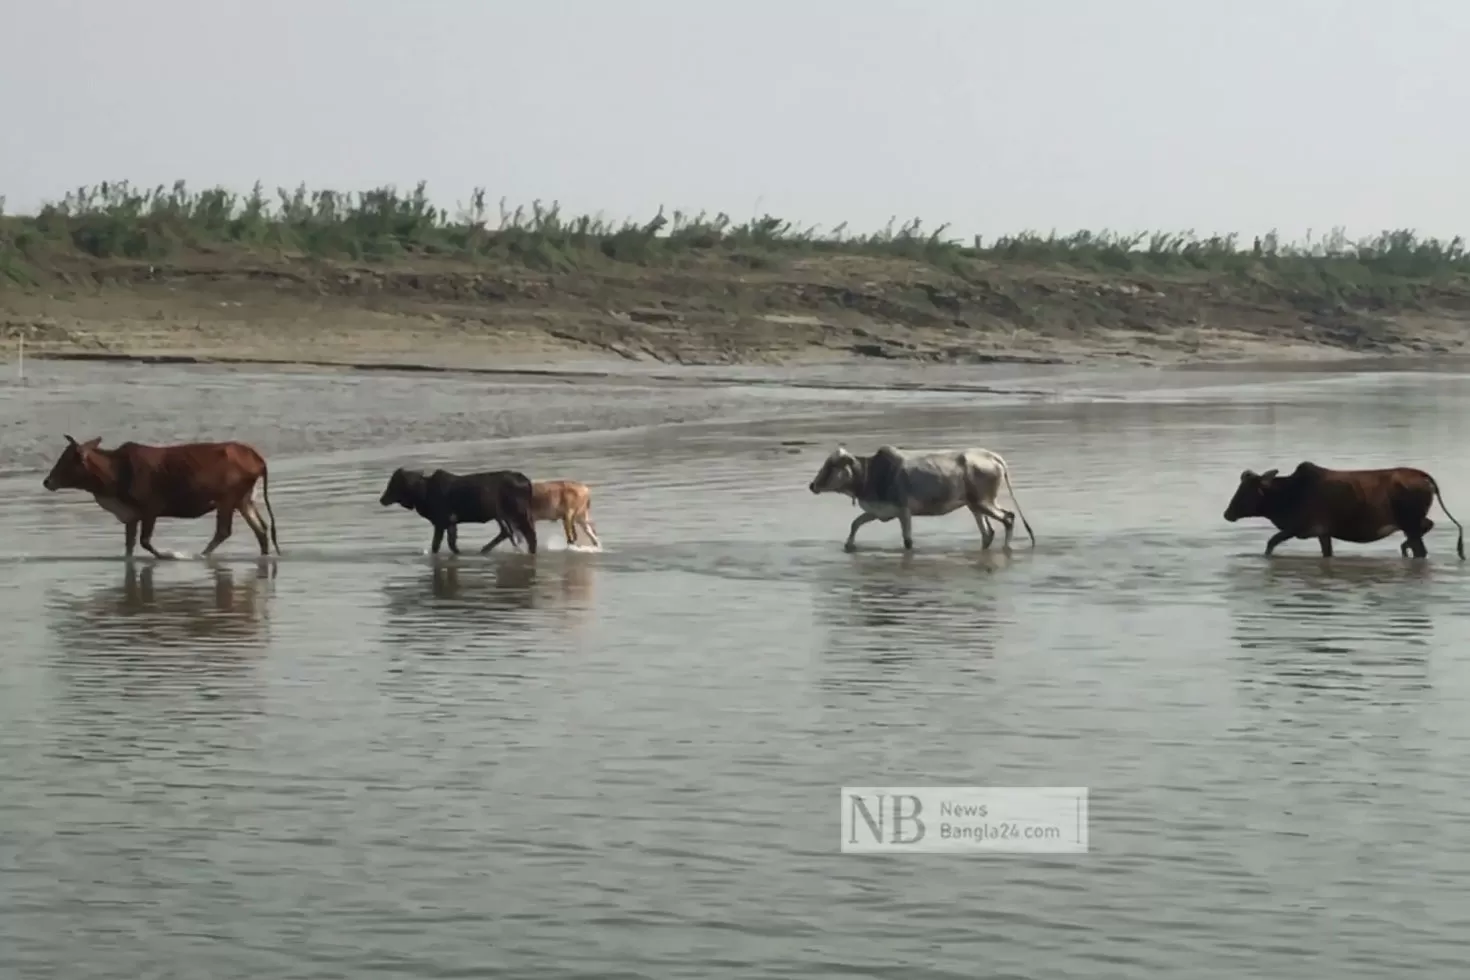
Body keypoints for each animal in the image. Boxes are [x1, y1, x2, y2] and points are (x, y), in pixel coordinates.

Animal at [41, 434, 280, 558]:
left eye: (66, 461)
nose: (47, 481)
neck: (115, 472)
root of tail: (257, 458)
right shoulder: (132, 516)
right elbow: (129, 546)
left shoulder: (150, 510)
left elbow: (145, 542)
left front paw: (169, 555)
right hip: (244, 500)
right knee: (261, 530)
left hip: (227, 500)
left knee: (224, 531)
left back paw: (200, 555)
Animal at [379, 467, 540, 555]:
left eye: (394, 483)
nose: (382, 499)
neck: (423, 493)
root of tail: (526, 481)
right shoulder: (450, 523)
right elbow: (450, 544)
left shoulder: (442, 522)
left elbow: (438, 545)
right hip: (504, 515)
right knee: (507, 532)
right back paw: (483, 550)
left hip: (518, 514)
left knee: (529, 535)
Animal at [805, 443, 1034, 552]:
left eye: (832, 466)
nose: (812, 485)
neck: (871, 474)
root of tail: (991, 456)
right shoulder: (878, 512)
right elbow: (855, 524)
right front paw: (849, 546)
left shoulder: (904, 511)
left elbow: (907, 541)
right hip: (975, 506)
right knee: (988, 532)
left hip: (984, 502)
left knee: (1009, 518)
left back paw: (1007, 548)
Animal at [1223, 461, 1464, 558]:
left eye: (1247, 491)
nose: (1227, 514)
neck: (1290, 493)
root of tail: (1424, 477)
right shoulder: (1323, 533)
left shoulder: (1298, 527)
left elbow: (1271, 543)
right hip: (1413, 523)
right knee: (1426, 529)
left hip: (1410, 524)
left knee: (1420, 550)